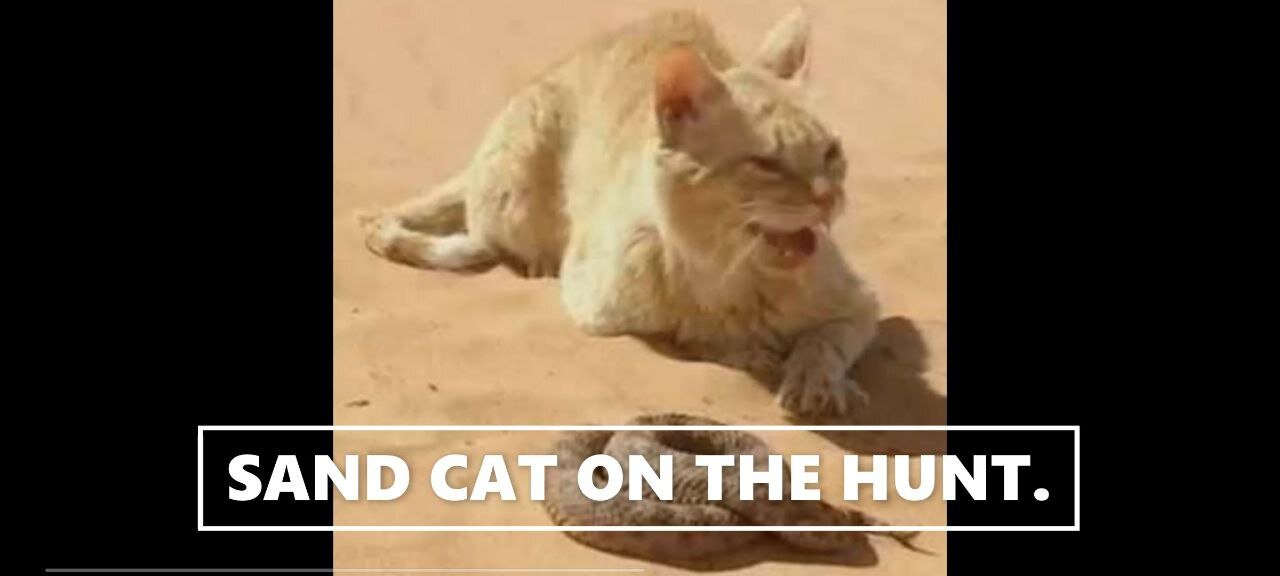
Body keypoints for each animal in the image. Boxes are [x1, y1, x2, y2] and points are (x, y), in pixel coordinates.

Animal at [360, 7, 880, 414]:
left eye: (831, 152)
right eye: (766, 164)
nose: (829, 197)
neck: (732, 273)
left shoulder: (862, 303)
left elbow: (825, 340)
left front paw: (816, 377)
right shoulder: (596, 308)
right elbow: (696, 338)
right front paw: (750, 351)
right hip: (515, 197)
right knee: (485, 230)